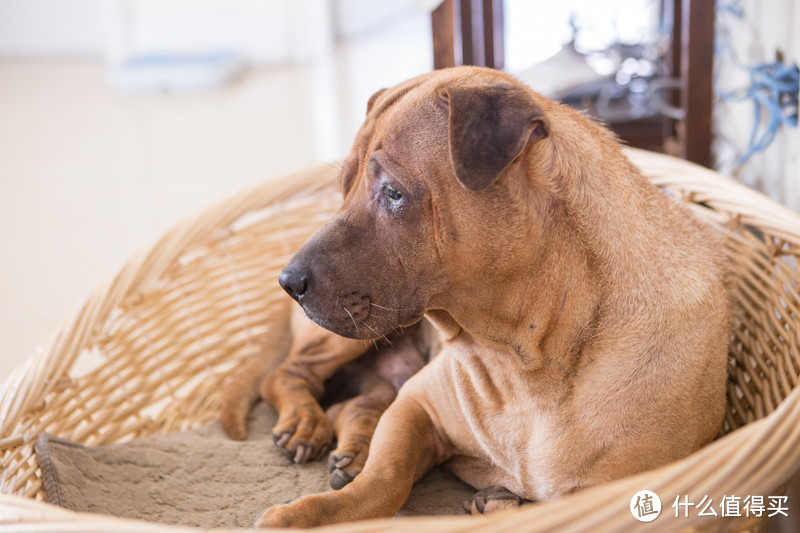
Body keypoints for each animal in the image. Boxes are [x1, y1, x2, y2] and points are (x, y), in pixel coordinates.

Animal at [252, 64, 732, 524]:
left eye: (392, 192)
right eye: (344, 186)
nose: (288, 282)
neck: (523, 356)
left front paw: (501, 502)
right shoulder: (416, 407)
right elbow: (384, 482)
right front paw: (307, 515)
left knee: (351, 403)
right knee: (286, 375)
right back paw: (305, 424)